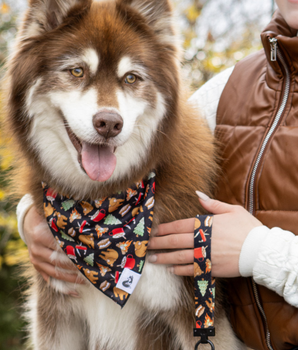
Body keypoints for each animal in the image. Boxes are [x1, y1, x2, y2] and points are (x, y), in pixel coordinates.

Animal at [5, 0, 247, 350]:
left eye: (131, 77)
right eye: (77, 71)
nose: (109, 123)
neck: (101, 207)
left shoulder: (196, 314)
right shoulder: (57, 312)